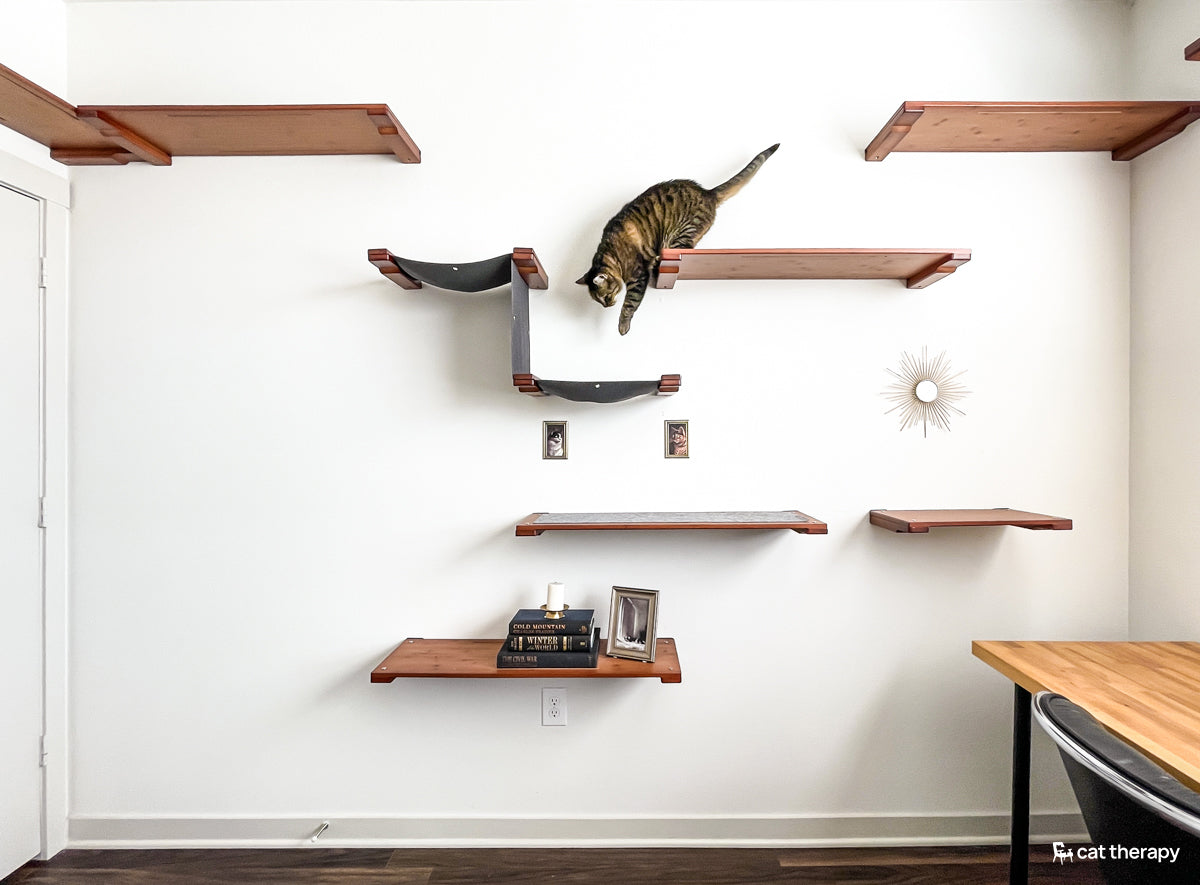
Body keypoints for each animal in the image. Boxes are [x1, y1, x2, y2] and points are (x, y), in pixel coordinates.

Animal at [578, 143, 777, 335]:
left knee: (685, 248)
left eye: (605, 297)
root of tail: (708, 193)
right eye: (600, 301)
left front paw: (622, 325)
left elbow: (629, 304)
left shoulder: (638, 276)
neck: (611, 254)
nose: (607, 305)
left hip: (681, 233)